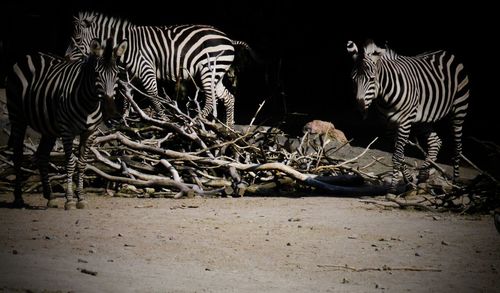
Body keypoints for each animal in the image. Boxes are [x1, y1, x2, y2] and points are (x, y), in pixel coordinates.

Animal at [6, 37, 128, 209]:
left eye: (117, 74)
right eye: (96, 74)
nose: (112, 114)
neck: (89, 103)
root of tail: (31, 54)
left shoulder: (90, 133)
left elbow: (82, 163)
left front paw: (81, 198)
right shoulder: (67, 131)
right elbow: (70, 162)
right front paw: (70, 200)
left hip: (48, 127)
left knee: (42, 155)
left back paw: (50, 196)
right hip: (17, 116)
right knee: (17, 155)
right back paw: (18, 199)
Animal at [65, 11, 249, 126]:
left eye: (77, 40)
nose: (65, 58)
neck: (127, 46)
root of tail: (228, 39)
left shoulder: (146, 68)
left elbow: (154, 97)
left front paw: (163, 122)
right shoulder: (129, 75)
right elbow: (127, 98)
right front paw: (124, 122)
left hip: (209, 70)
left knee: (211, 100)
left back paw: (193, 123)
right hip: (215, 73)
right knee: (228, 97)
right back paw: (229, 130)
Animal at [346, 39, 470, 189]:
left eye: (371, 79)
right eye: (353, 80)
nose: (359, 112)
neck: (385, 97)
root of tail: (445, 52)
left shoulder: (405, 122)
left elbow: (396, 157)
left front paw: (393, 188)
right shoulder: (389, 125)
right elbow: (399, 156)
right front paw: (409, 180)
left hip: (459, 109)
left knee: (458, 148)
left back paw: (455, 183)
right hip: (424, 119)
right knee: (435, 142)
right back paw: (423, 175)